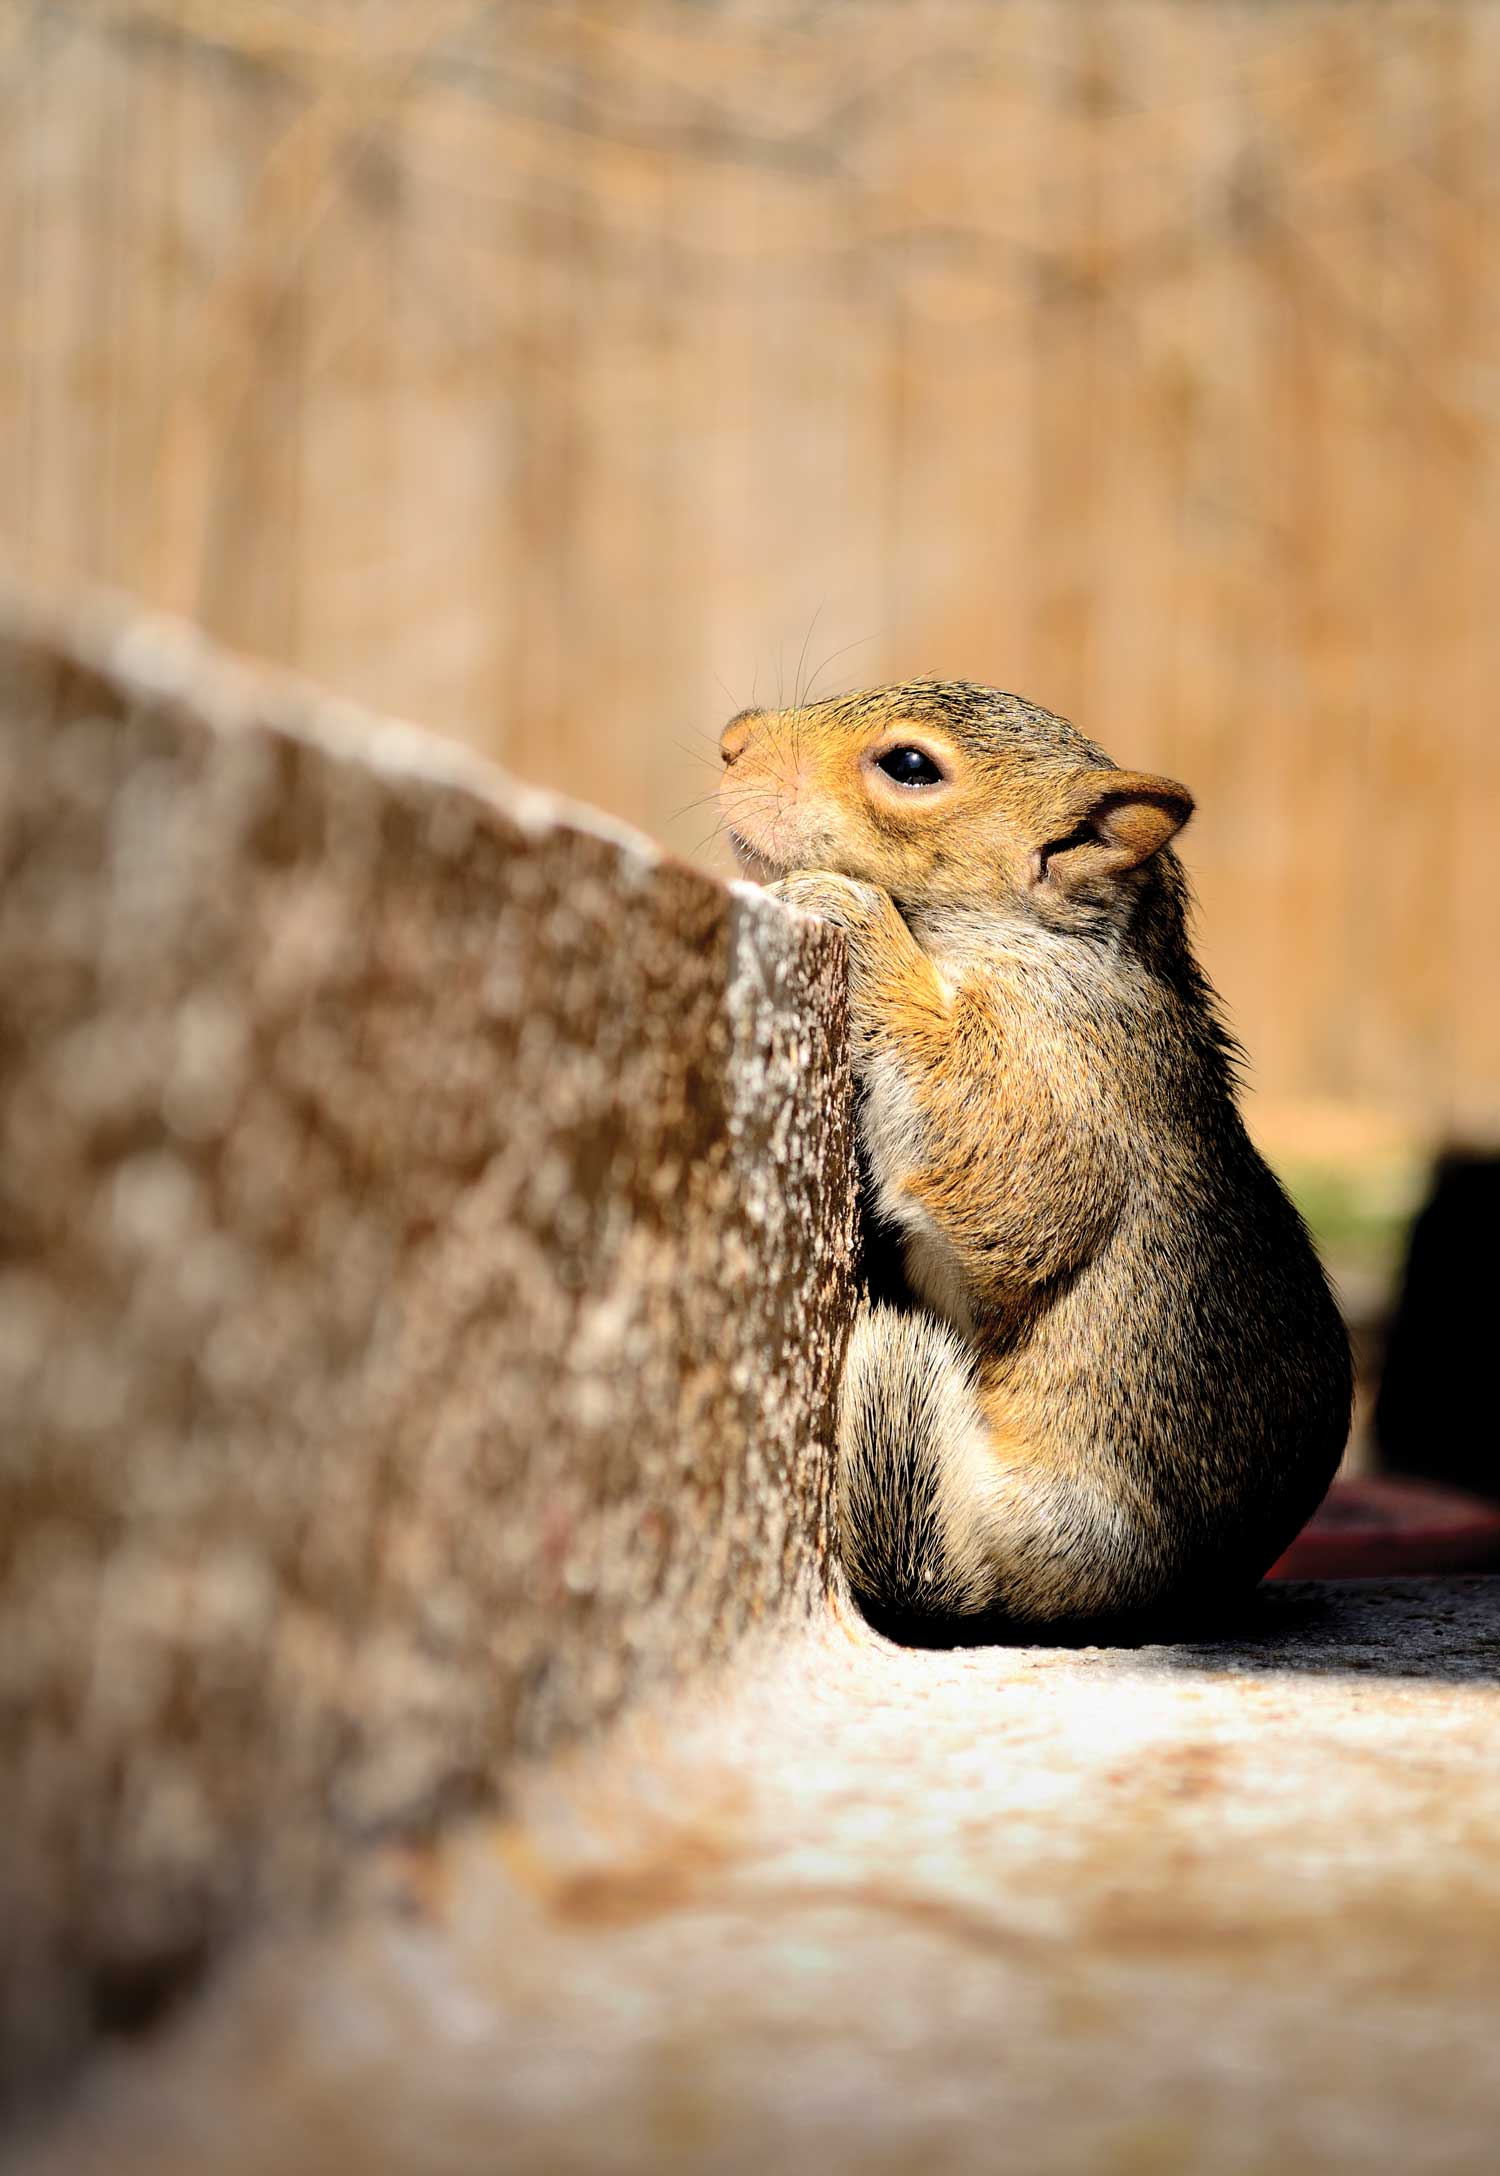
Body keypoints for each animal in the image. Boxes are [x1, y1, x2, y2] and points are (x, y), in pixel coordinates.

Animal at [718, 687, 1349, 1627]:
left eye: (910, 767)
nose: (732, 743)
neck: (1041, 939)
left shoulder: (1062, 1067)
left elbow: (1009, 1175)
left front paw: (856, 918)